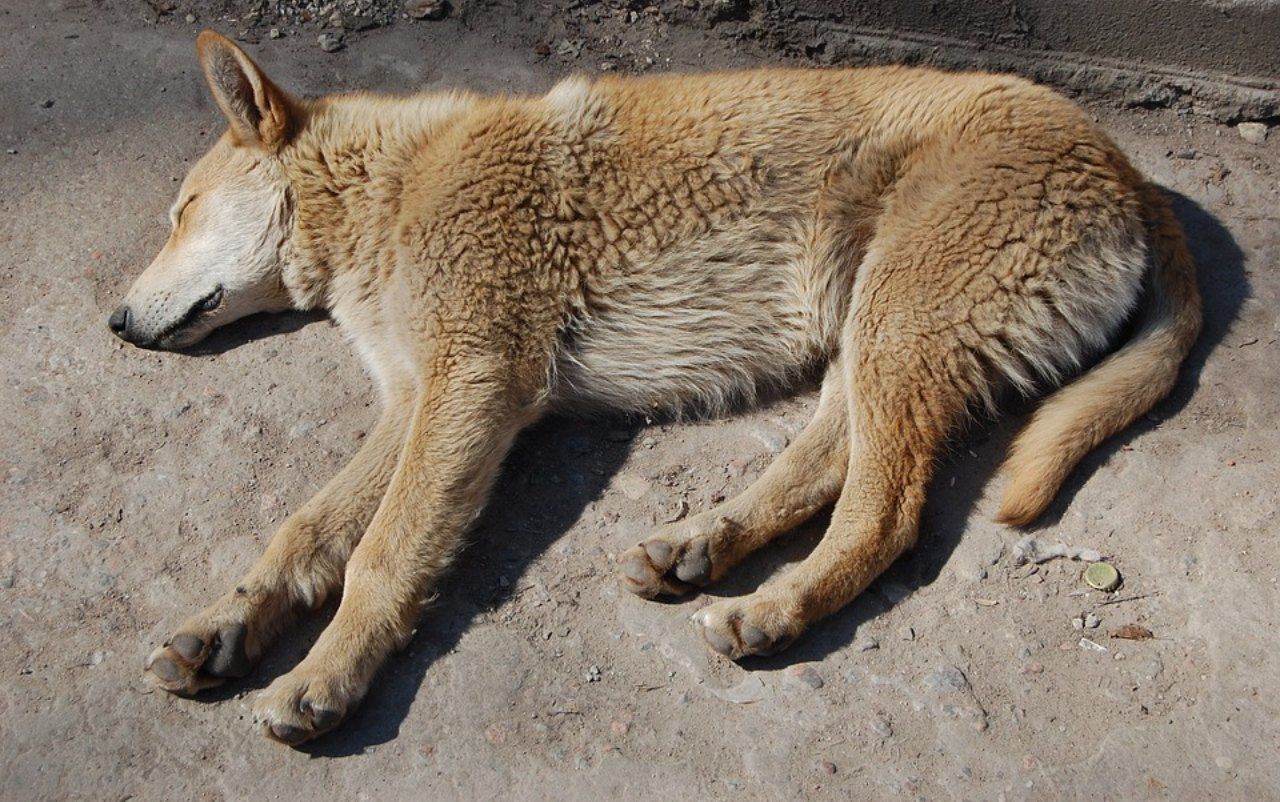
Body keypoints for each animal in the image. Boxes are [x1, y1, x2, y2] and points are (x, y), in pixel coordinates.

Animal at [112, 31, 1198, 746]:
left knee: (885, 514)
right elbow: (304, 533)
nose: (115, 324)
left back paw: (775, 607)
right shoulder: (416, 399)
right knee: (825, 466)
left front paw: (327, 674)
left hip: (896, 326)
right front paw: (225, 626)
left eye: (181, 211)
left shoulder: (470, 386)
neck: (390, 189)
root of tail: (1123, 164)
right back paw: (702, 545)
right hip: (869, 335)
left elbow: (381, 555)